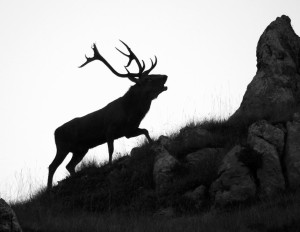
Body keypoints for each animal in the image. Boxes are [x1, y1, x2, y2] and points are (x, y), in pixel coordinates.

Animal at [48, 40, 168, 189]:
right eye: (148, 79)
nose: (165, 76)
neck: (130, 112)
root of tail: (55, 132)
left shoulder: (128, 131)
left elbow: (145, 131)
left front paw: (153, 144)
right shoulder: (110, 129)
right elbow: (110, 149)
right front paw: (110, 165)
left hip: (81, 149)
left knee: (69, 166)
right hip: (62, 147)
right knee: (52, 166)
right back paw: (49, 188)